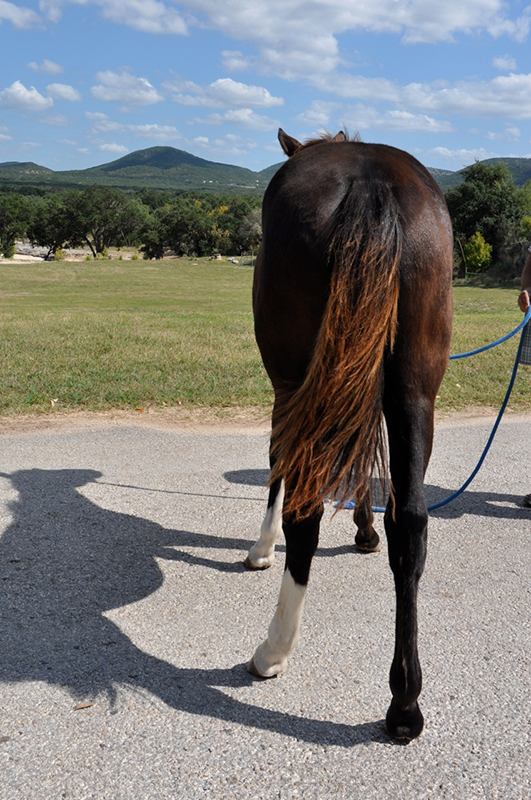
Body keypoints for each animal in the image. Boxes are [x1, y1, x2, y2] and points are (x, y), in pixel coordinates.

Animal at [247, 128, 456, 740]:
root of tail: (370, 182)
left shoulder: (288, 391)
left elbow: (279, 468)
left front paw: (261, 546)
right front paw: (365, 529)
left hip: (302, 381)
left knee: (307, 511)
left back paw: (274, 649)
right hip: (414, 391)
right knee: (411, 523)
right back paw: (405, 702)